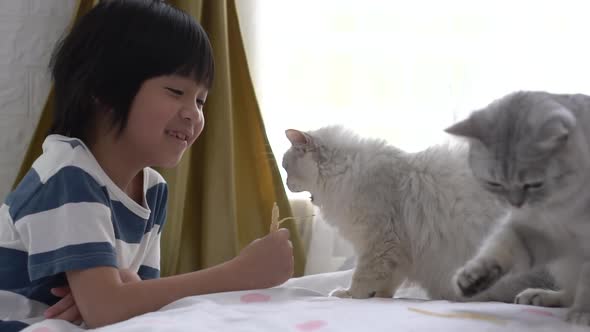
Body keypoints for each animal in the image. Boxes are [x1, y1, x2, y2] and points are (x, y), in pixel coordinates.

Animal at [284, 126, 556, 302]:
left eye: (286, 168)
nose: (285, 184)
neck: (346, 173)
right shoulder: (398, 251)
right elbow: (386, 282)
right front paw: (379, 297)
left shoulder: (379, 242)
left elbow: (362, 277)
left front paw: (350, 295)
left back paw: (533, 297)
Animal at [448, 90, 590, 324]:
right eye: (494, 183)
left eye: (533, 184)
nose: (515, 203)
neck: (562, 208)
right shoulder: (536, 231)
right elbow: (500, 247)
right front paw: (475, 276)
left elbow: (587, 285)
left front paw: (583, 313)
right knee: (568, 294)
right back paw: (540, 296)